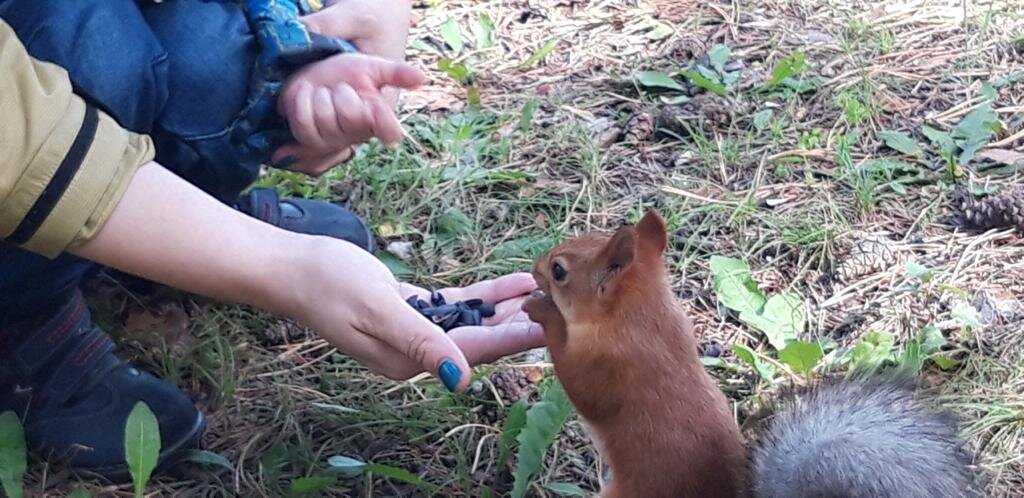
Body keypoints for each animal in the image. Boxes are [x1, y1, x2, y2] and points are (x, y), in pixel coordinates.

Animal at [524, 210, 970, 498]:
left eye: (559, 271)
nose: (534, 268)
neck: (642, 317)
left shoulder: (608, 364)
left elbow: (581, 386)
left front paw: (542, 311)